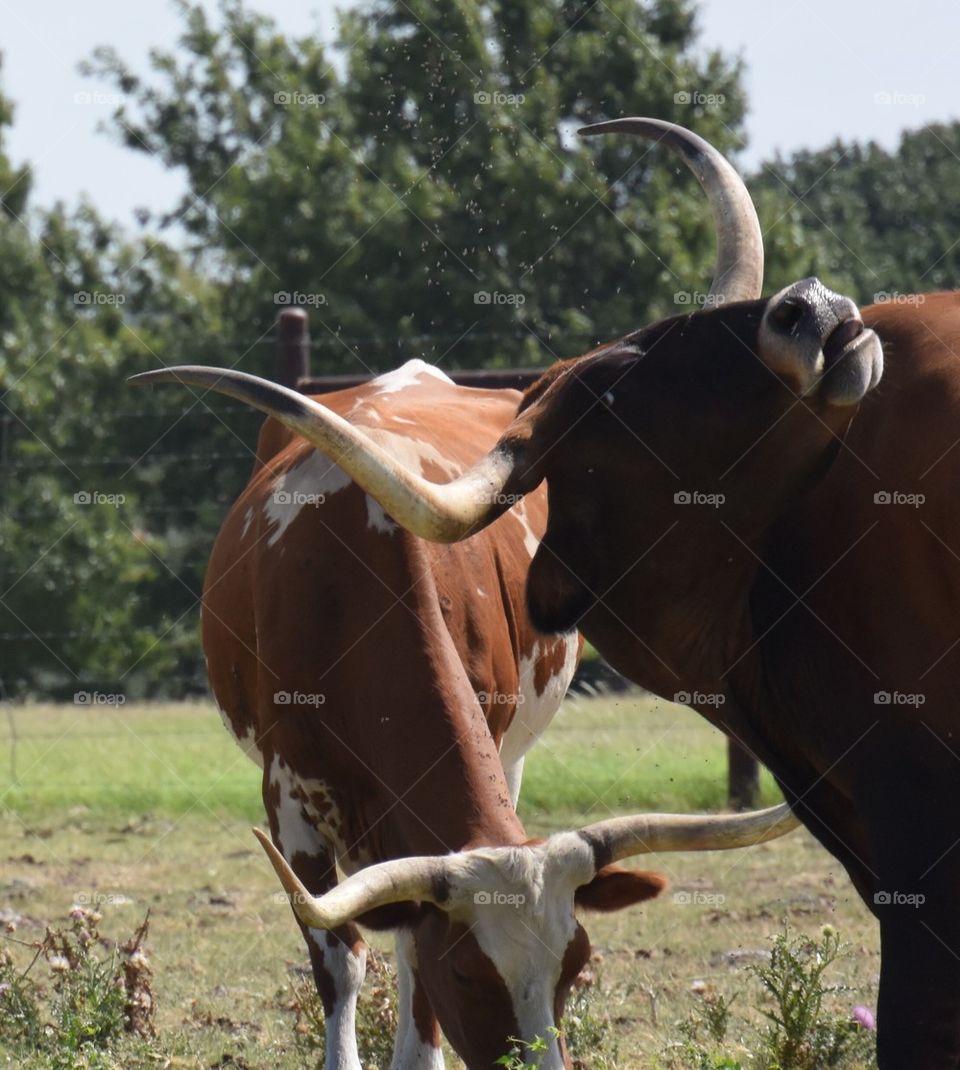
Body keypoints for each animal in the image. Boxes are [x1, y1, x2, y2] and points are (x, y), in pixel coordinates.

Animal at [132, 353, 799, 1069]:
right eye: (468, 974)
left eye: (575, 966)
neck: (348, 592)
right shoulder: (286, 795)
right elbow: (340, 956)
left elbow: (410, 949)